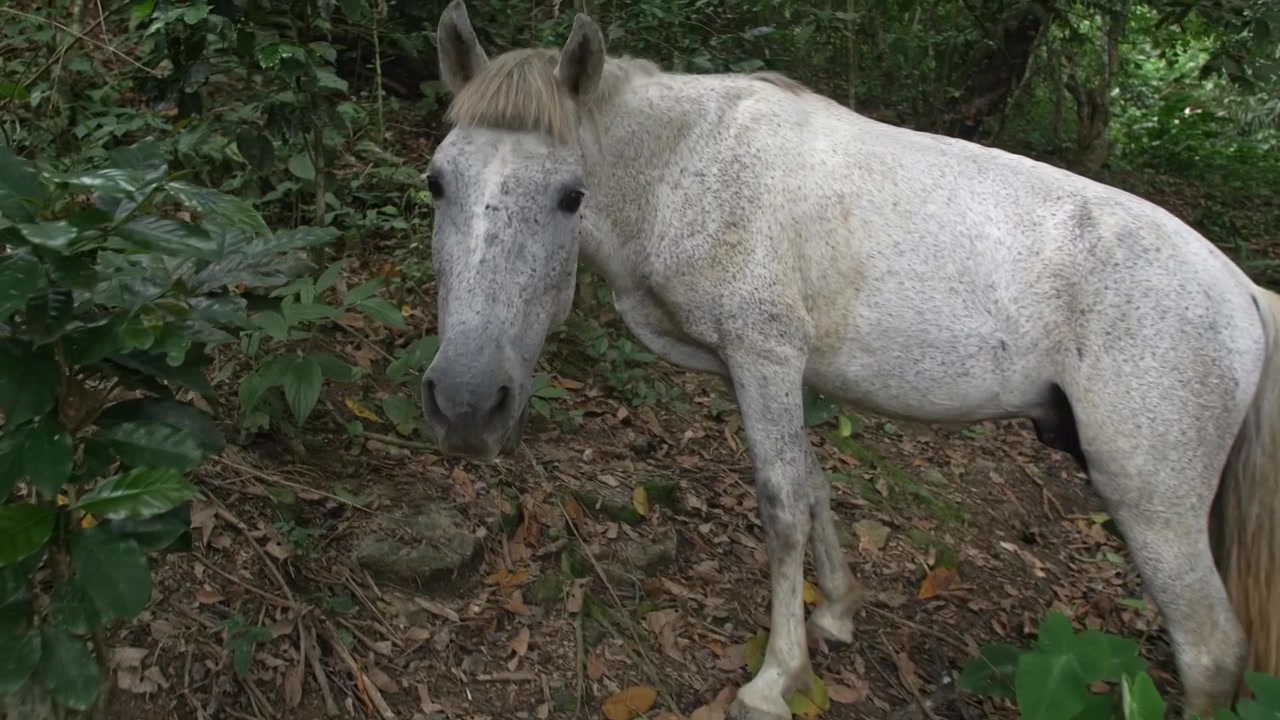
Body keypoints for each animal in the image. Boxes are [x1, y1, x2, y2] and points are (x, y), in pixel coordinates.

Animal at [416, 2, 1280, 717]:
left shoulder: (764, 356)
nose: (465, 403)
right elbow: (811, 482)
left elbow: (780, 505)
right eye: (436, 183)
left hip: (1153, 507)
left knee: (1210, 652)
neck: (684, 170)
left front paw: (776, 678)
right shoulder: (767, 371)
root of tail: (1242, 291)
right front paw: (833, 612)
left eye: (569, 196)